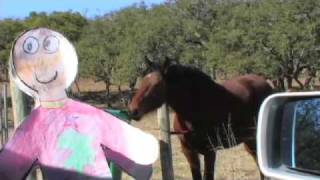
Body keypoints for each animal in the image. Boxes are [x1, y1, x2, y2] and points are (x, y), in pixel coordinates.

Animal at [127, 59, 272, 180]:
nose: (133, 110)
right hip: (249, 141)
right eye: (142, 82)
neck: (195, 110)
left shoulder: (210, 152)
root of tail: (266, 84)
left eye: (157, 84)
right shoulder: (189, 152)